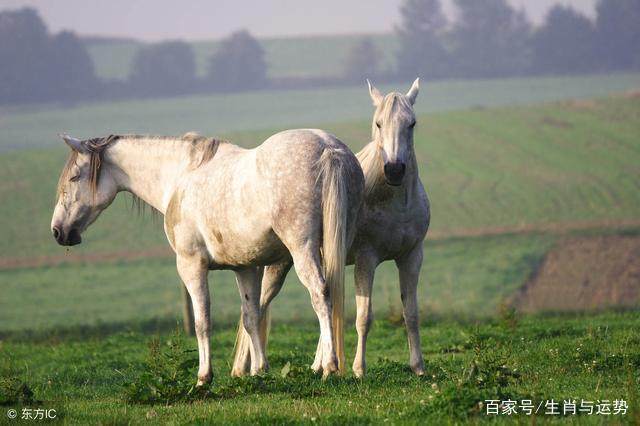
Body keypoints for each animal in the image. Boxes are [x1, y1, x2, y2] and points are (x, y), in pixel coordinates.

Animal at [50, 129, 362, 382]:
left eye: (75, 177)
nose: (58, 231)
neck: (180, 177)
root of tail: (328, 148)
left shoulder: (191, 266)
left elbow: (202, 322)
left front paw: (203, 377)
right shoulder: (245, 268)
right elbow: (251, 317)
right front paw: (259, 371)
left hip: (302, 250)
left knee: (320, 294)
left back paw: (330, 366)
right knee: (332, 294)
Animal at [230, 79, 430, 376]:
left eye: (412, 123)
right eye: (378, 123)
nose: (394, 170)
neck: (396, 203)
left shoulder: (411, 257)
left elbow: (412, 313)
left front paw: (418, 366)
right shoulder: (367, 259)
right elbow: (364, 317)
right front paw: (359, 369)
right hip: (281, 264)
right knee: (260, 305)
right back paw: (246, 367)